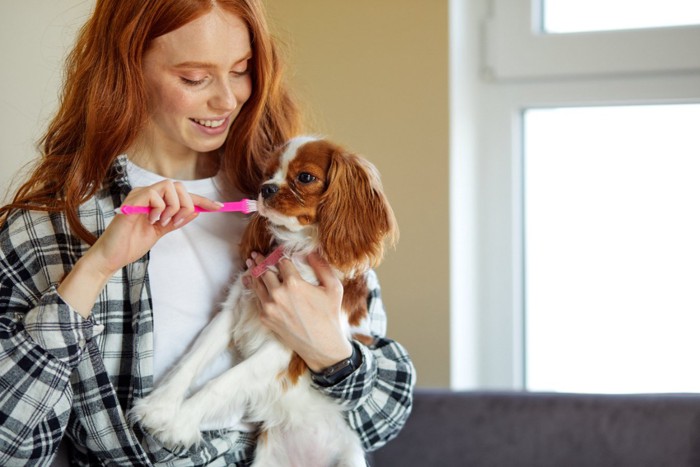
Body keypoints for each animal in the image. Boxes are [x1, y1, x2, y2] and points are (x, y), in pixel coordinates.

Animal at [128, 136, 396, 467]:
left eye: (305, 177)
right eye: (267, 174)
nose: (266, 188)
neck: (293, 251)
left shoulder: (288, 347)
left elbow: (221, 383)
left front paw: (179, 423)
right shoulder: (232, 312)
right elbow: (191, 360)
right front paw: (159, 409)